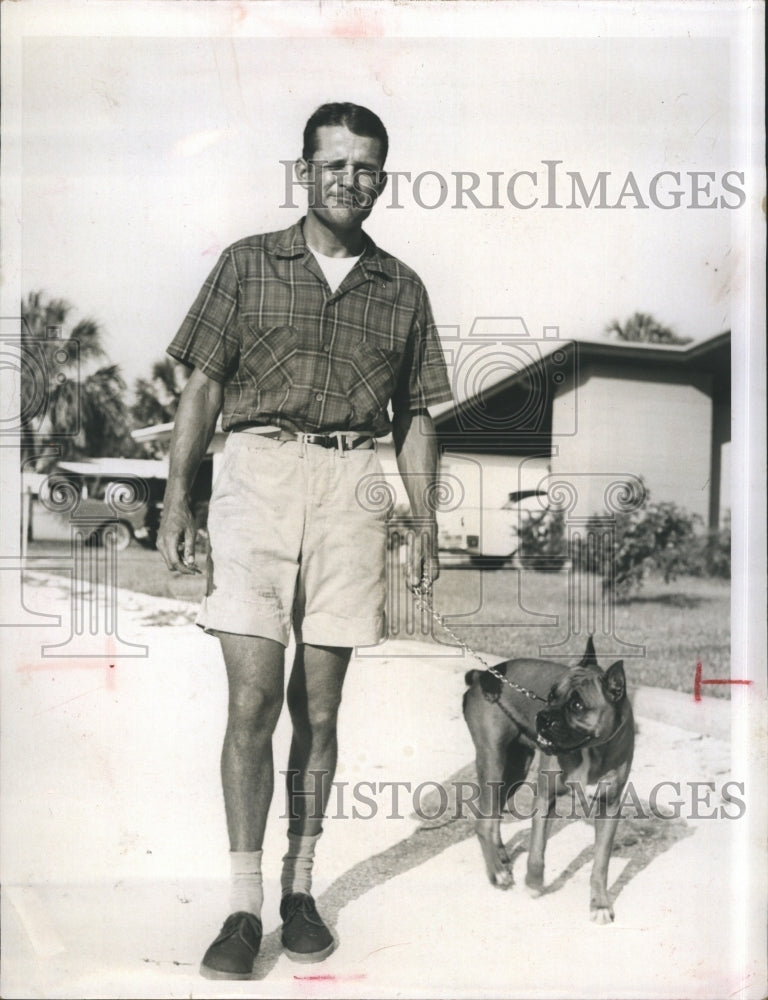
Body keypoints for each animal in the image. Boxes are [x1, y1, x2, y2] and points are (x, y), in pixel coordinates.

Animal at [462, 640, 636, 920]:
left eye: (577, 705)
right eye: (552, 695)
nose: (542, 716)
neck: (591, 750)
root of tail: (483, 674)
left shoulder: (609, 808)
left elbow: (600, 864)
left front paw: (600, 904)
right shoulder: (545, 797)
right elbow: (536, 850)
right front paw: (534, 884)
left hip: (515, 771)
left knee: (493, 814)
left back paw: (501, 857)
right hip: (493, 762)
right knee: (483, 823)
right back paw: (497, 872)